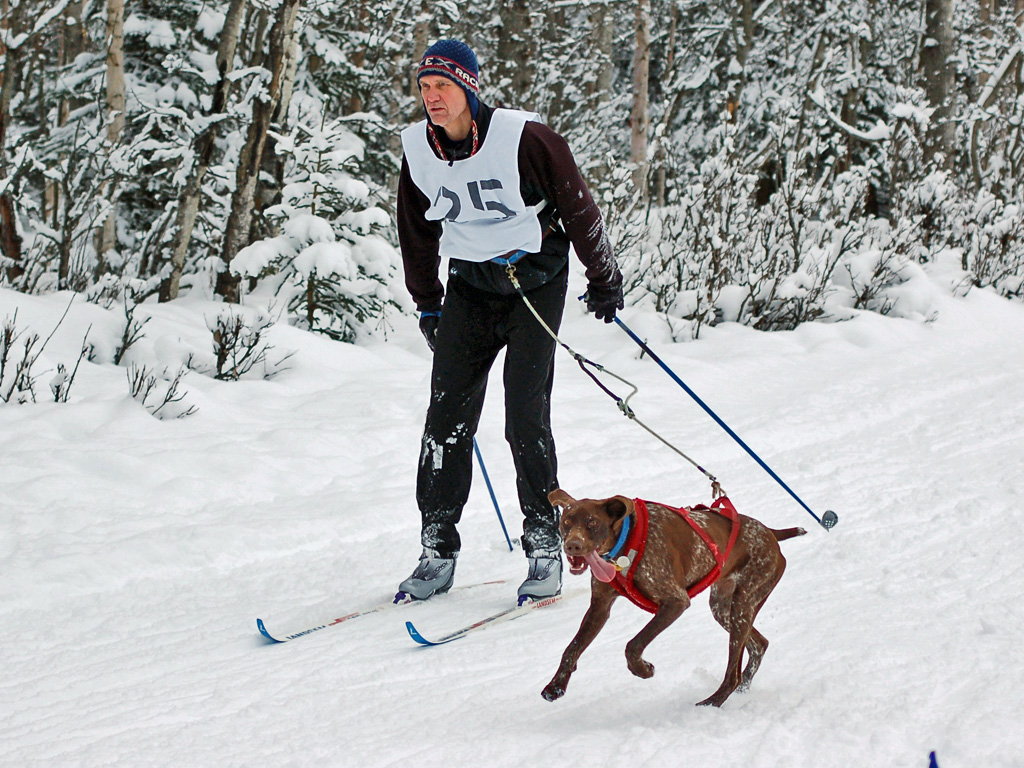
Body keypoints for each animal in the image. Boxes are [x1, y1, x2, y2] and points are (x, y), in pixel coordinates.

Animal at [544, 489, 806, 708]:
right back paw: (741, 689)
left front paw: (643, 669)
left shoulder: (675, 602)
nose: (573, 546)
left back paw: (712, 703)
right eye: (566, 523)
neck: (625, 544)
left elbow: (633, 645)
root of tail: (770, 533)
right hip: (723, 608)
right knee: (759, 645)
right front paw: (555, 686)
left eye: (592, 522)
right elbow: (572, 648)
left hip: (743, 604)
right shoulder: (599, 606)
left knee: (733, 671)